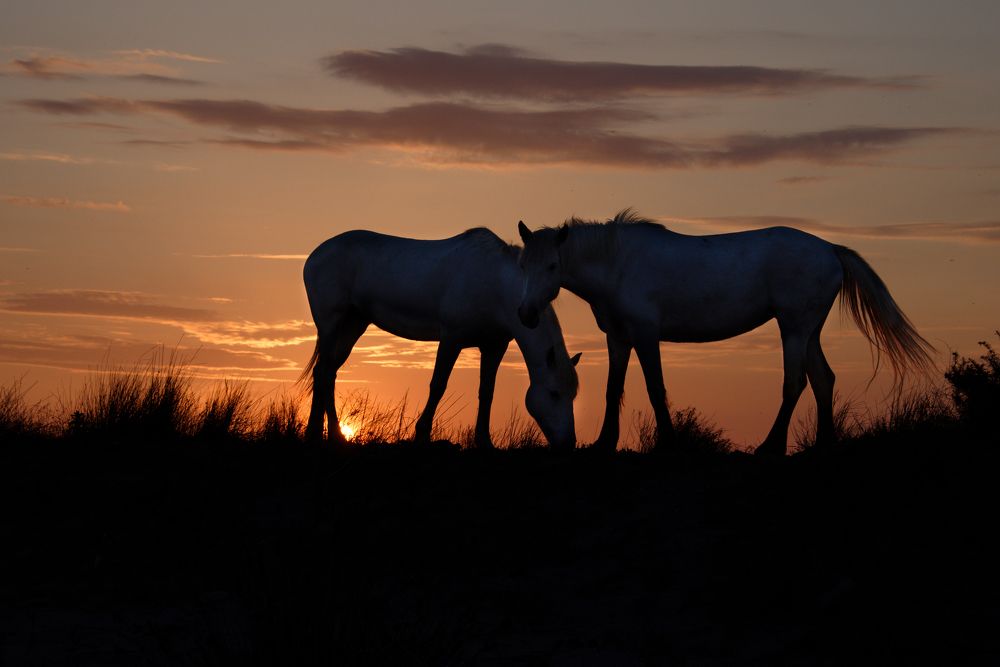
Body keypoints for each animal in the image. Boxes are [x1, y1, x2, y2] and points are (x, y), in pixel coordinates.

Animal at [301, 227, 581, 450]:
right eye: (554, 393)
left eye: (572, 395)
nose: (568, 442)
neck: (495, 285)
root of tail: (315, 255)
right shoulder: (451, 339)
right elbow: (438, 386)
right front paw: (422, 434)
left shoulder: (493, 346)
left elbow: (486, 392)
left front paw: (484, 441)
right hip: (331, 325)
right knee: (323, 372)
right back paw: (321, 434)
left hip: (353, 324)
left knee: (327, 373)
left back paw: (328, 435)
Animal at [516, 209, 934, 455]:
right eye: (522, 265)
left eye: (552, 266)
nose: (526, 314)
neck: (618, 263)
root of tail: (830, 248)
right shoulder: (617, 337)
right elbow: (612, 389)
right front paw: (604, 444)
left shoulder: (646, 335)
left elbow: (655, 389)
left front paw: (668, 443)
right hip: (809, 330)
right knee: (822, 378)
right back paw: (823, 445)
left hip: (794, 328)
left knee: (795, 382)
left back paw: (770, 447)